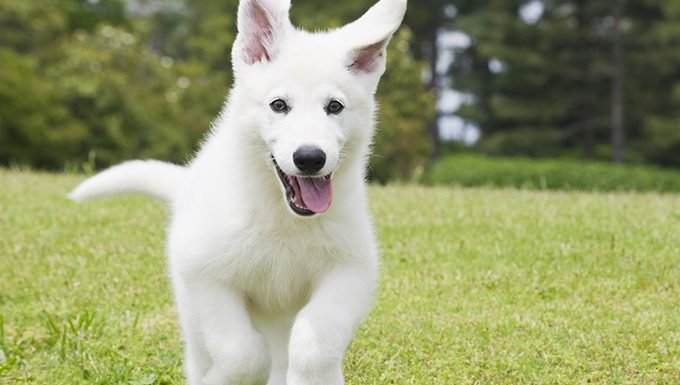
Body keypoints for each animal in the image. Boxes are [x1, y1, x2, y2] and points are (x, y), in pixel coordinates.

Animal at [71, 1, 406, 382]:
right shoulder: (205, 275)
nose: (309, 158)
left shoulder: (350, 271)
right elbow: (241, 352)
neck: (282, 216)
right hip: (192, 314)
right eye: (279, 105)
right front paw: (223, 378)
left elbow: (313, 342)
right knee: (207, 354)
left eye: (334, 106)